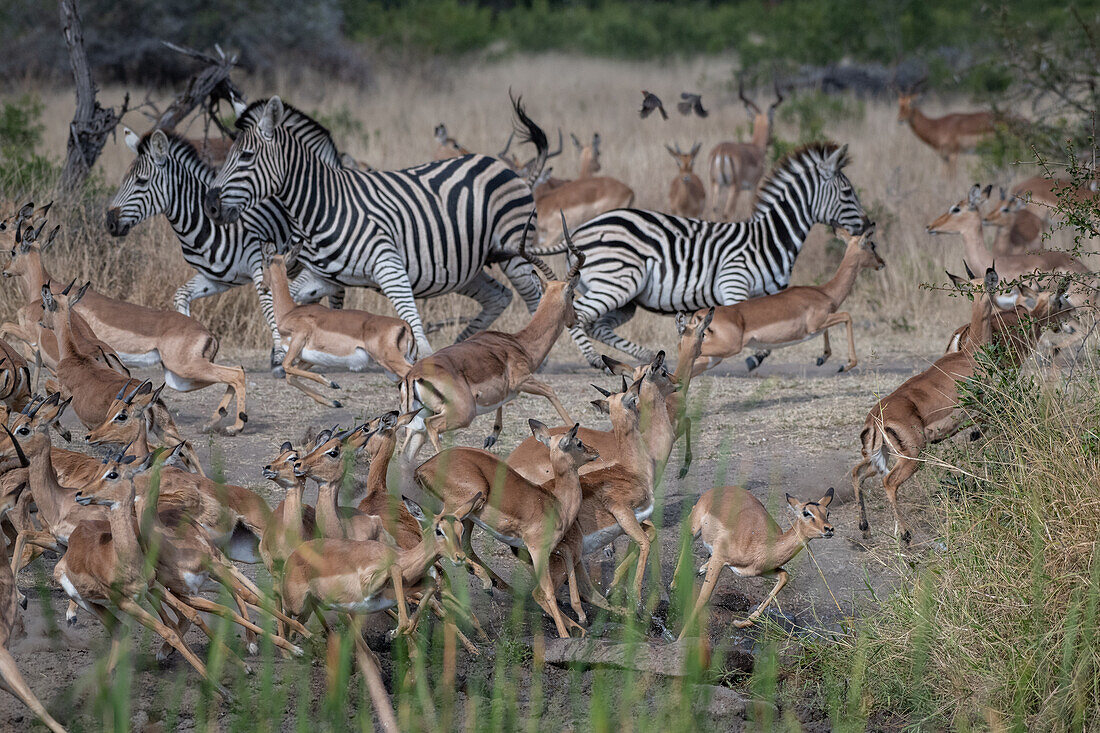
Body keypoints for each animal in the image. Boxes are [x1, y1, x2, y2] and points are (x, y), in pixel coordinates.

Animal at [105, 124, 314, 372]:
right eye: (124, 180)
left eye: (141, 182)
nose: (109, 222)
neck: (209, 225)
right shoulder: (219, 278)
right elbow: (181, 295)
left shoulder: (260, 264)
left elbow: (268, 307)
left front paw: (280, 356)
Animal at [204, 94, 547, 354]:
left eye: (246, 156)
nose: (210, 206)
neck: (324, 203)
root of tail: (502, 166)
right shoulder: (326, 276)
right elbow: (295, 301)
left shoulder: (389, 266)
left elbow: (415, 329)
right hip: (466, 265)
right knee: (499, 295)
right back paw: (462, 345)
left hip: (514, 252)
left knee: (534, 297)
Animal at [521, 140, 866, 367]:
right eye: (848, 192)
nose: (868, 223)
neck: (767, 237)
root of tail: (582, 229)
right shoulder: (733, 283)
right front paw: (751, 356)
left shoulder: (769, 293)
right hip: (617, 283)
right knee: (578, 317)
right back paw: (593, 359)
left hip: (625, 297)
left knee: (596, 324)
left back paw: (644, 355)